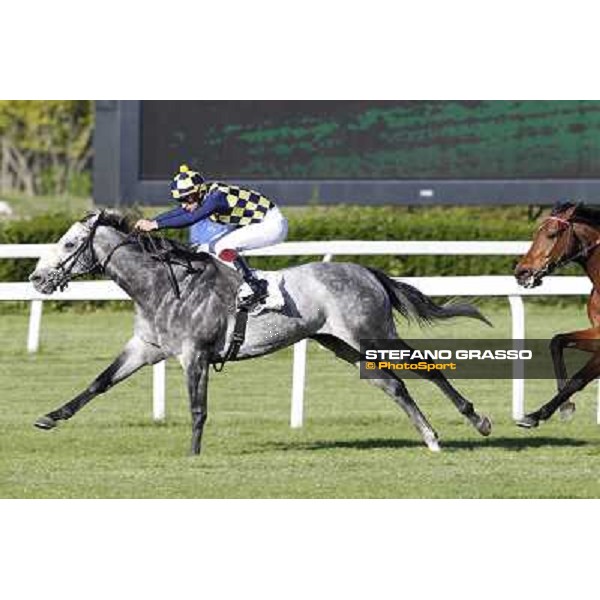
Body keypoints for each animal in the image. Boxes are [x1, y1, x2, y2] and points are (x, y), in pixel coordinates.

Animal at [29, 212, 492, 454]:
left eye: (69, 244)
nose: (35, 278)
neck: (163, 284)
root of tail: (367, 271)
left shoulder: (194, 354)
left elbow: (197, 408)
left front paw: (193, 454)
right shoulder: (145, 347)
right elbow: (99, 383)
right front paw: (49, 417)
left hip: (372, 335)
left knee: (428, 366)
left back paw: (477, 420)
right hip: (344, 345)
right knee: (394, 386)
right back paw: (430, 437)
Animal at [512, 202, 600, 426]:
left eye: (552, 234)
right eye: (536, 233)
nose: (522, 272)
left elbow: (578, 379)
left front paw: (537, 414)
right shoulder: (597, 333)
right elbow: (557, 341)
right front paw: (564, 406)